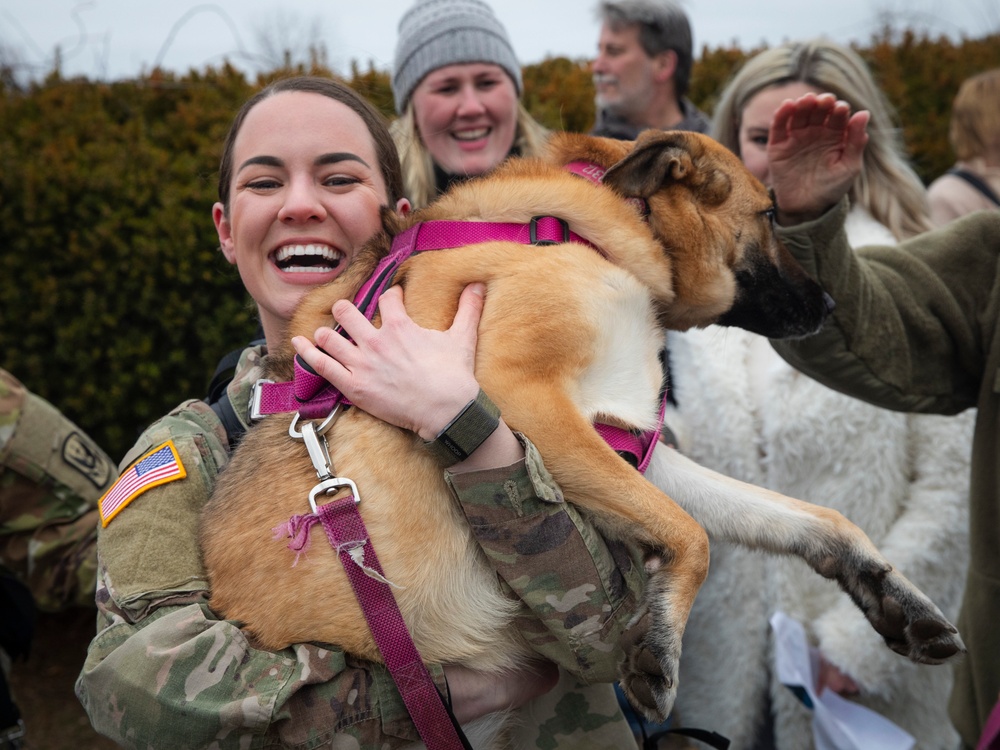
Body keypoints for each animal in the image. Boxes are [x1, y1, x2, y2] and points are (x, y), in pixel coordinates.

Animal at [201, 132, 960, 748]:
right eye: (771, 214)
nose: (834, 304)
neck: (595, 222)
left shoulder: (625, 448)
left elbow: (796, 517)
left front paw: (889, 592)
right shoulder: (525, 401)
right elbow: (695, 537)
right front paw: (659, 649)